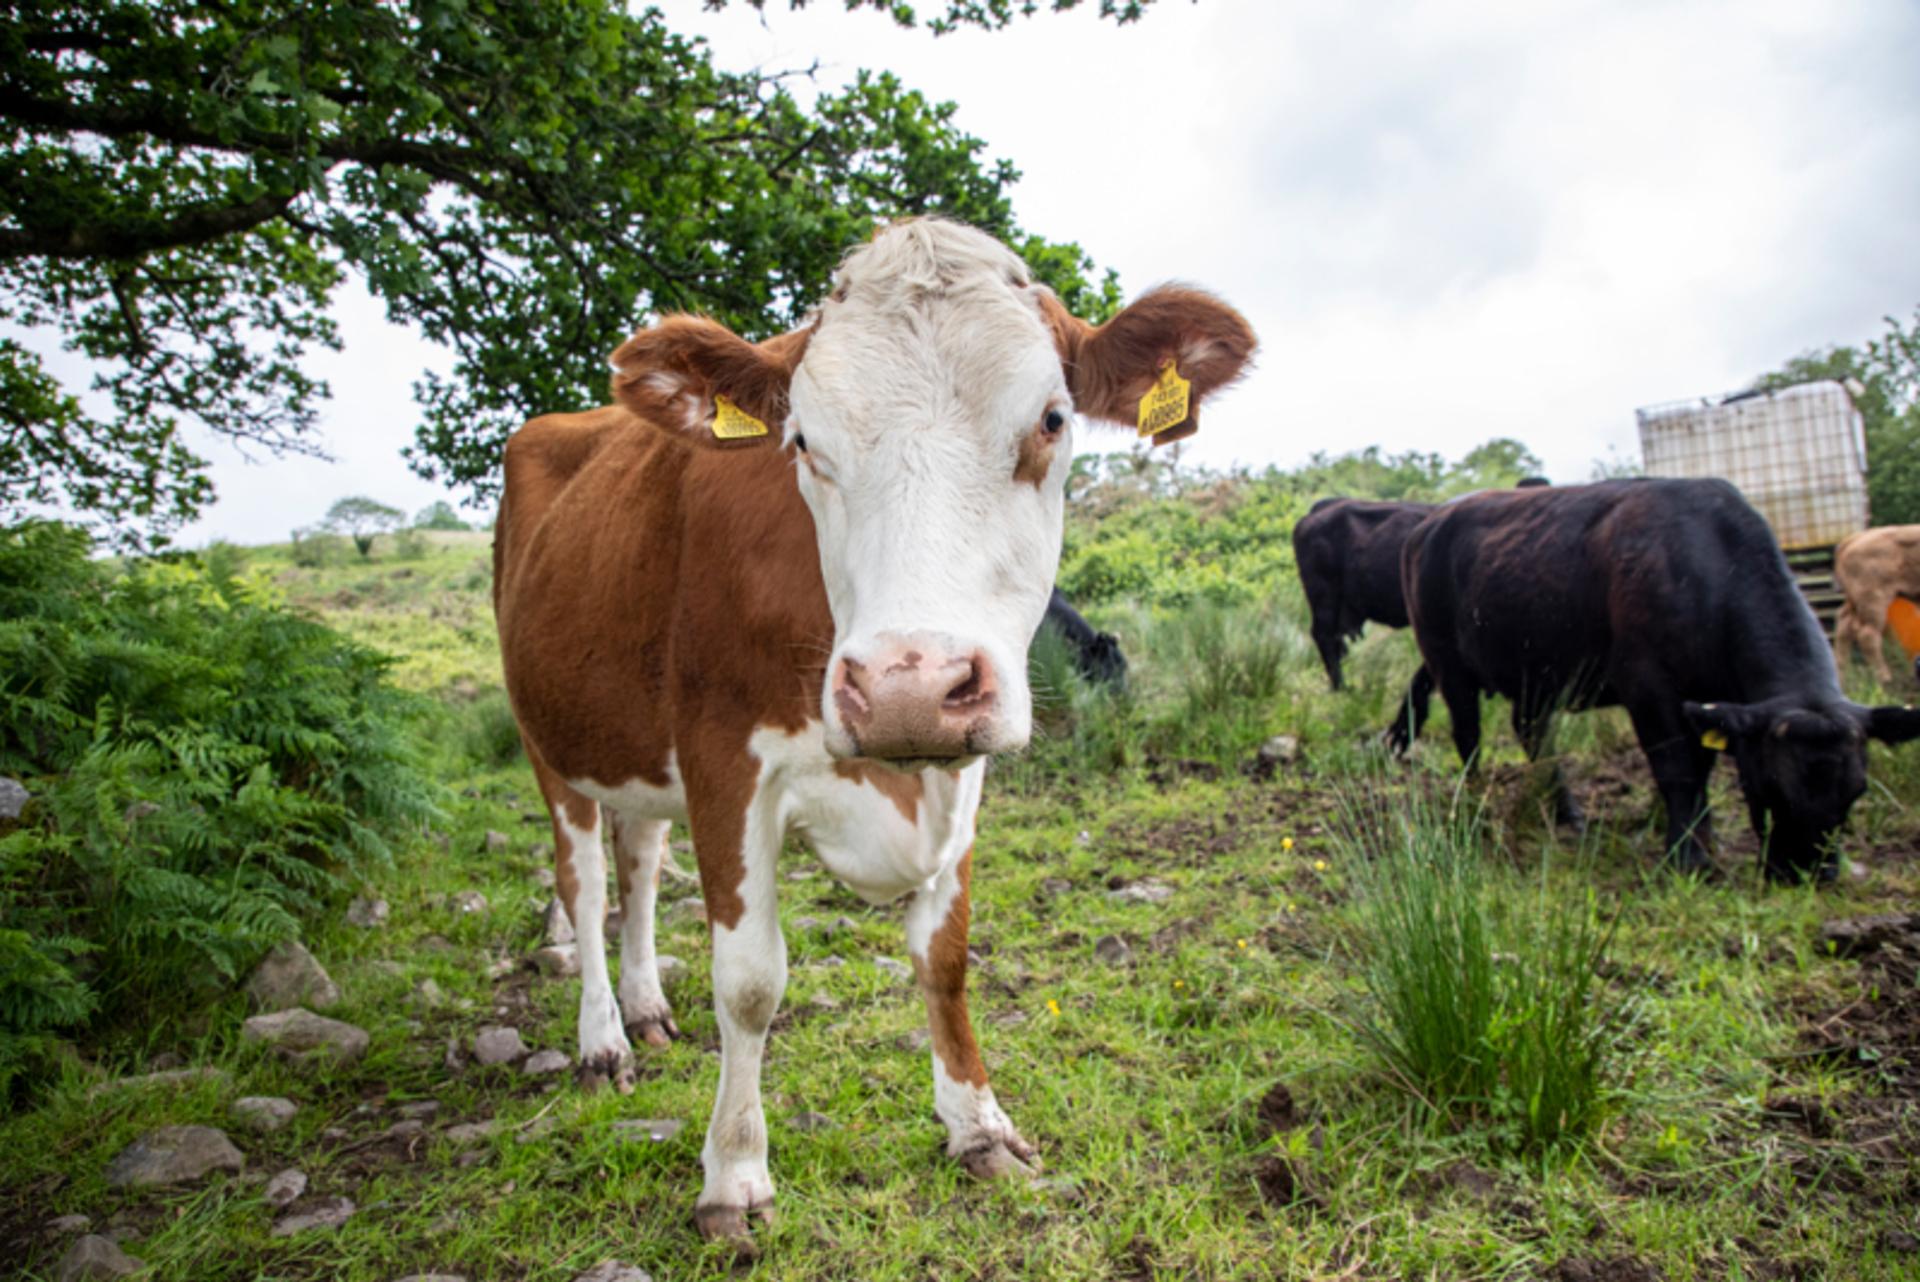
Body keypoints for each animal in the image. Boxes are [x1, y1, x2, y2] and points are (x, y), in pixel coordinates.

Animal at [493, 219, 1254, 1246]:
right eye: (801, 440)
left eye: (1052, 421)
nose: (908, 688)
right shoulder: (724, 764)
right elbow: (750, 981)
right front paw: (734, 1177)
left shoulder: (960, 768)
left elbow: (946, 957)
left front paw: (979, 1128)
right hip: (549, 740)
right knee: (584, 881)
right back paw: (604, 1041)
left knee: (642, 863)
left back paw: (648, 1006)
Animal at [1833, 524, 1920, 686]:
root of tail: (1855, 538)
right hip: (1875, 600)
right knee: (1867, 634)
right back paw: (1885, 677)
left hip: (1854, 602)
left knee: (1844, 628)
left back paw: (1842, 678)